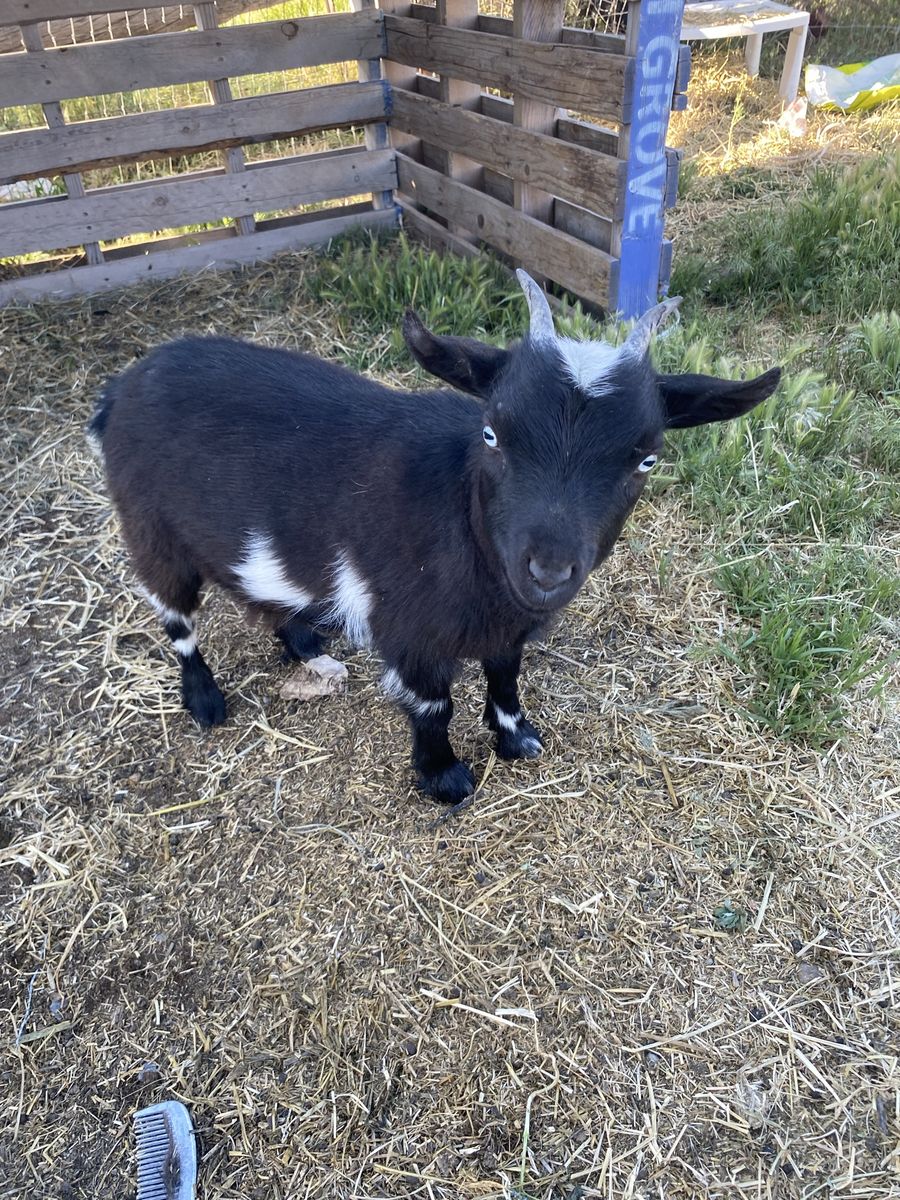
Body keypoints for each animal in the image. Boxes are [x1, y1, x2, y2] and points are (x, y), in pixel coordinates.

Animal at [89, 271, 780, 803]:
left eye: (647, 458)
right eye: (492, 433)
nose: (548, 571)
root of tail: (120, 387)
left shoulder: (505, 627)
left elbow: (506, 678)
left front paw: (516, 737)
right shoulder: (412, 632)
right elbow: (432, 705)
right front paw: (444, 777)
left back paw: (306, 643)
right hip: (150, 531)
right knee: (177, 621)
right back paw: (205, 700)